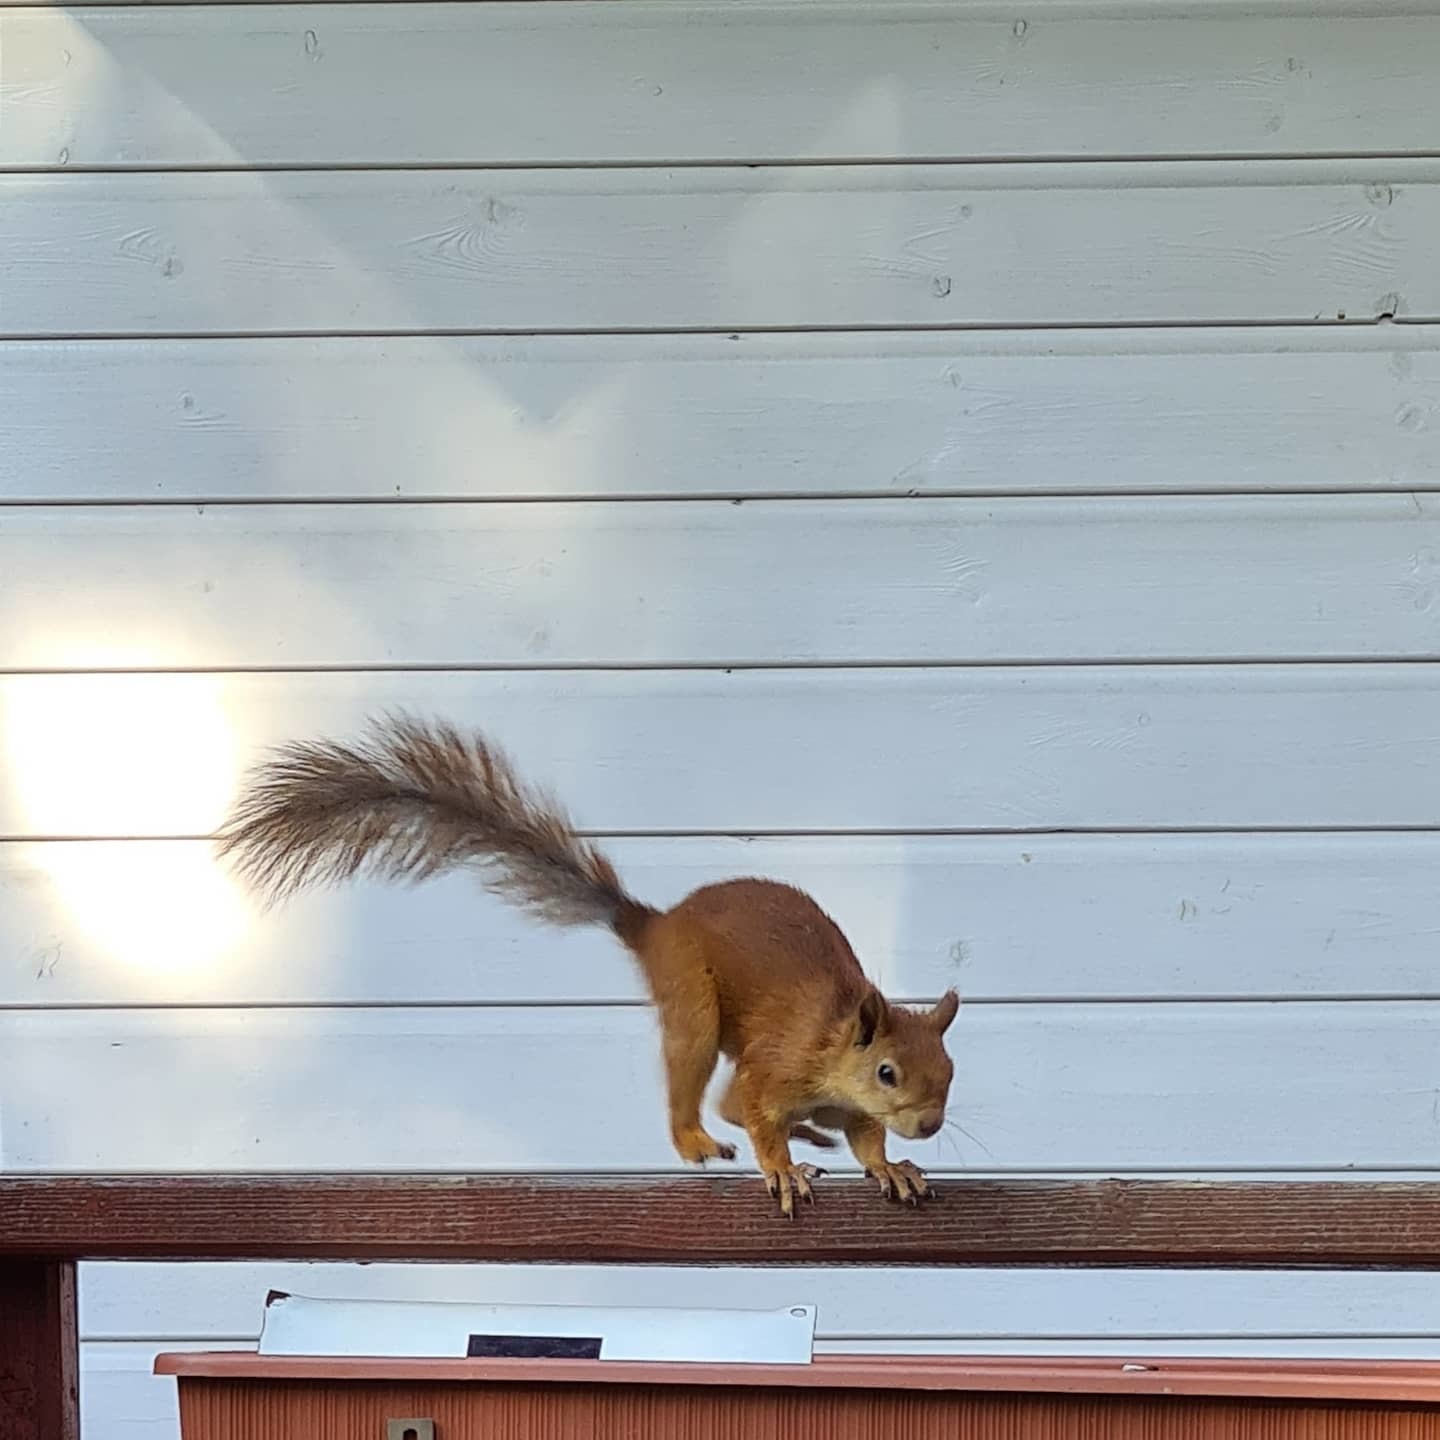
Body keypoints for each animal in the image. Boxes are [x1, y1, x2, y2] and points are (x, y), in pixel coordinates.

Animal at [216, 714, 956, 1209]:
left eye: (948, 1071)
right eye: (887, 1071)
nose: (930, 1125)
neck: (837, 1040)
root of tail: (656, 924)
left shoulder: (850, 1108)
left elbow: (866, 1139)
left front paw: (892, 1167)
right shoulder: (779, 1063)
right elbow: (757, 1110)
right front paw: (780, 1169)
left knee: (730, 1101)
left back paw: (804, 1135)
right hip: (693, 1004)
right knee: (705, 1088)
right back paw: (700, 1140)